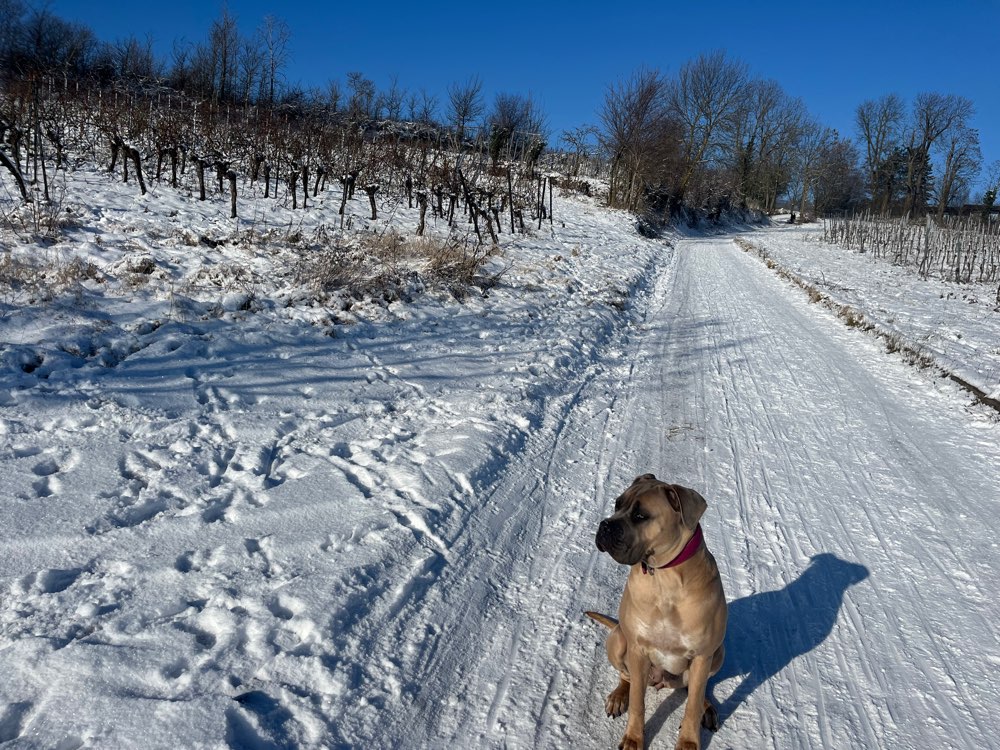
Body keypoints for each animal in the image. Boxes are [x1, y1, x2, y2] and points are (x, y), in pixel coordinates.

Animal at [584, 476, 728, 750]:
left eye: (640, 515)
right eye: (617, 504)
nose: (604, 525)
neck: (665, 578)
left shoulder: (702, 655)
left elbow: (692, 704)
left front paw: (688, 742)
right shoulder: (638, 649)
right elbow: (637, 703)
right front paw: (633, 739)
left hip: (718, 653)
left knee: (697, 690)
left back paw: (706, 707)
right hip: (619, 639)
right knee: (626, 677)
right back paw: (619, 696)